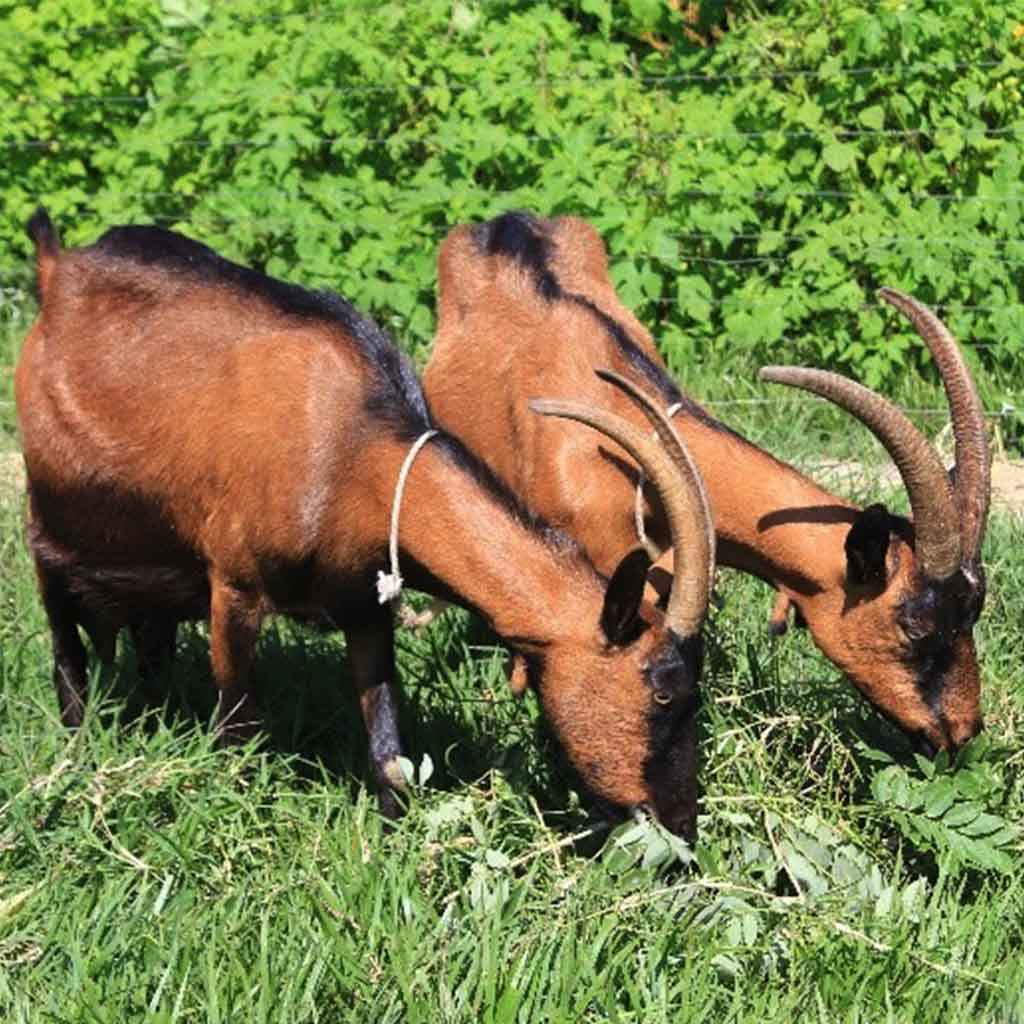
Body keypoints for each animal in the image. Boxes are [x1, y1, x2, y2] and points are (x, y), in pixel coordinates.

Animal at [19, 209, 716, 839]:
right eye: (664, 691)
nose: (681, 825)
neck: (351, 449)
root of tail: (57, 268)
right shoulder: (234, 587)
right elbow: (237, 728)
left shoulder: (364, 605)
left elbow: (389, 751)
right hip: (47, 533)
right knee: (65, 648)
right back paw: (77, 740)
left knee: (149, 640)